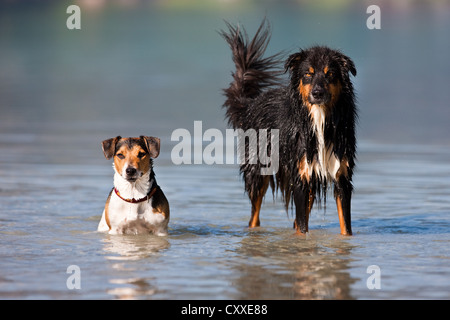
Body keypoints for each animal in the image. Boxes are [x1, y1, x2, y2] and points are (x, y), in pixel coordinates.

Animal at [220, 20, 356, 235]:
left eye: (330, 74)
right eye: (308, 74)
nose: (317, 93)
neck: (319, 118)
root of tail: (251, 104)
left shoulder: (341, 176)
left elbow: (345, 226)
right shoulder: (301, 176)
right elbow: (302, 227)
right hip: (258, 172)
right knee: (254, 217)